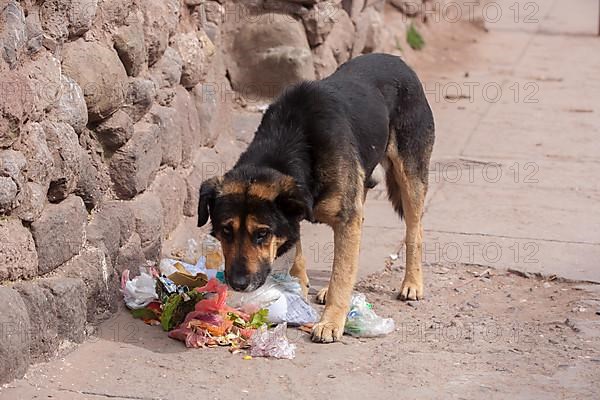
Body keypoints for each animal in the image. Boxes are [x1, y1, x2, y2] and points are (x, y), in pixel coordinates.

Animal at [199, 53, 434, 342]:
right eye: (225, 231)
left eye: (262, 234)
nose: (239, 284)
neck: (290, 143)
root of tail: (398, 60)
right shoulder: (299, 210)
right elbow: (300, 252)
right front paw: (298, 288)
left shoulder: (345, 219)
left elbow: (342, 272)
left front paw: (332, 321)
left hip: (410, 177)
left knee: (414, 230)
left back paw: (412, 283)